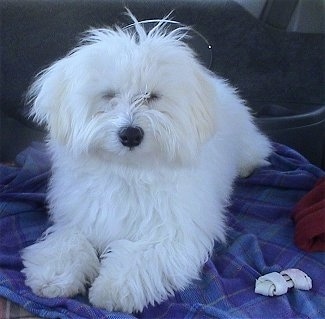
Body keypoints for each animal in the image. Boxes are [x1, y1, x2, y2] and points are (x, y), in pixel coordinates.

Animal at [20, 13, 270, 316]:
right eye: (109, 95)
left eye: (152, 96)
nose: (130, 134)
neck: (129, 171)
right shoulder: (82, 215)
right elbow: (68, 241)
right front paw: (53, 277)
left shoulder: (172, 233)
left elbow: (141, 257)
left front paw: (111, 289)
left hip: (246, 140)